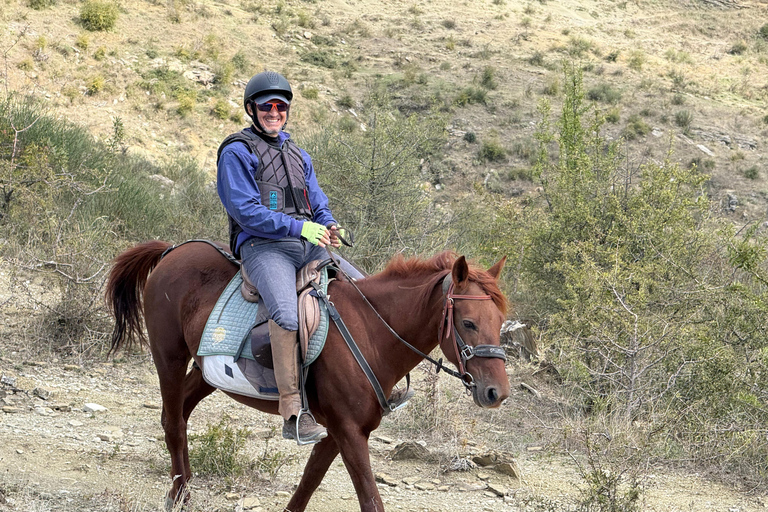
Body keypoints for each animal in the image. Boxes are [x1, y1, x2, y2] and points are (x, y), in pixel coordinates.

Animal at [105, 240, 511, 512]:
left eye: (500, 322)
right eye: (468, 323)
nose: (497, 393)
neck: (370, 331)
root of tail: (173, 251)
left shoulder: (340, 431)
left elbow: (309, 482)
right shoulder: (348, 431)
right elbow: (370, 499)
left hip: (206, 374)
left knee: (180, 416)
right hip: (169, 358)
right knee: (174, 422)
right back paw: (181, 495)